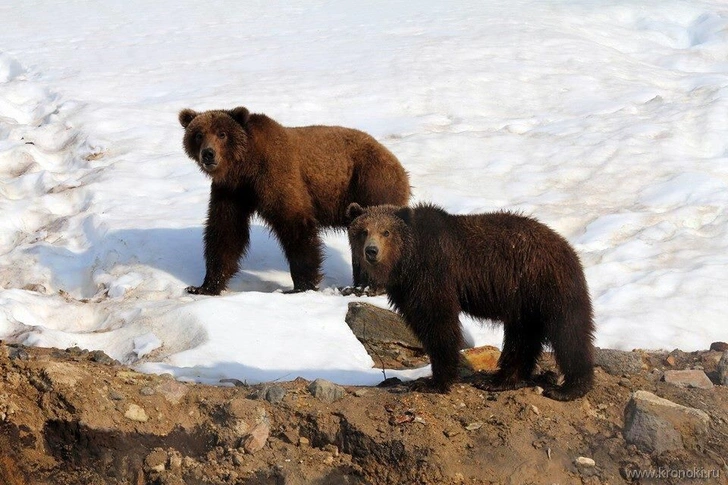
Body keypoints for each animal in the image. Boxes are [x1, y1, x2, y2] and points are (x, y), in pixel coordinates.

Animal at [178, 107, 410, 294]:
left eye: (222, 134)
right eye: (198, 135)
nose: (208, 154)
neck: (245, 167)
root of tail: (397, 164)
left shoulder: (275, 172)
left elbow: (294, 222)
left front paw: (301, 285)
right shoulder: (231, 191)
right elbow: (225, 232)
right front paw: (205, 286)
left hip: (371, 183)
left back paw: (370, 286)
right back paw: (359, 285)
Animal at [348, 202, 596, 398]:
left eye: (386, 232)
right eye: (363, 231)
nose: (371, 251)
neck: (407, 260)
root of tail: (566, 246)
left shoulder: (433, 273)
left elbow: (438, 323)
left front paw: (433, 382)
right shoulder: (406, 288)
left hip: (546, 285)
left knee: (569, 332)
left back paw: (569, 388)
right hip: (524, 301)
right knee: (523, 337)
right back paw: (499, 380)